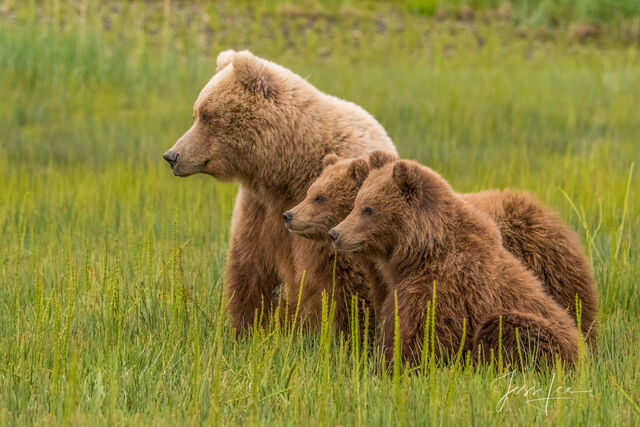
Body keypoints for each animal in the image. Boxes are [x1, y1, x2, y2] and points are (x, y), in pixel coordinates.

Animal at [161, 51, 396, 338]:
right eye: (196, 114)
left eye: (206, 115)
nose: (172, 156)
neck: (287, 170)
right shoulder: (259, 209)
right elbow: (250, 269)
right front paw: (246, 331)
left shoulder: (335, 207)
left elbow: (349, 281)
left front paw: (349, 336)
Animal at [330, 160, 580, 368]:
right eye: (356, 204)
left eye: (368, 209)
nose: (335, 233)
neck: (422, 252)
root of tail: (583, 356)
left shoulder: (443, 288)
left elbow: (422, 339)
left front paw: (391, 367)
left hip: (545, 335)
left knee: (506, 328)